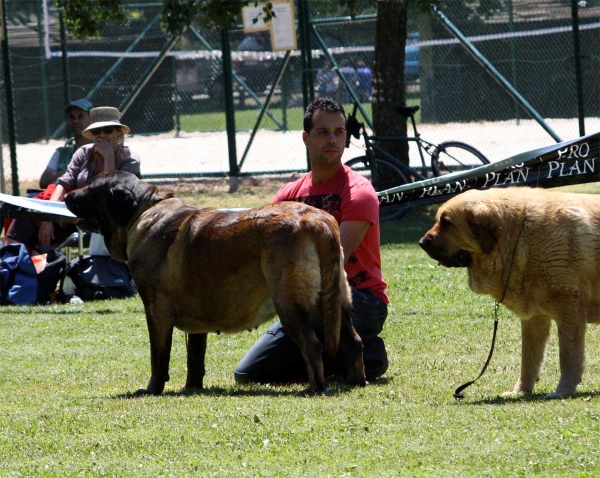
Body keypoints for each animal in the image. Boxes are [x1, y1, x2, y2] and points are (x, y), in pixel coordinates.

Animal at [64, 172, 366, 396]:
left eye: (90, 189)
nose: (66, 195)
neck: (142, 212)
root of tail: (319, 222)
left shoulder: (156, 313)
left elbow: (158, 358)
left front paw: (152, 389)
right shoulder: (198, 322)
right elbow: (195, 359)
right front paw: (191, 388)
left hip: (291, 305)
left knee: (312, 344)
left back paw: (315, 387)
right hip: (334, 302)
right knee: (353, 340)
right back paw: (356, 381)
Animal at [418, 188, 600, 400]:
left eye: (447, 223)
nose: (421, 243)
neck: (518, 237)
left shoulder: (569, 308)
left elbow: (568, 355)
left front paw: (563, 390)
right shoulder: (534, 318)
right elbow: (529, 358)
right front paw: (520, 391)